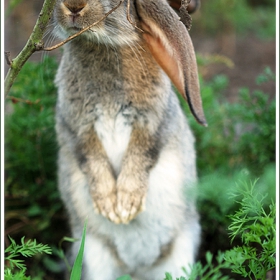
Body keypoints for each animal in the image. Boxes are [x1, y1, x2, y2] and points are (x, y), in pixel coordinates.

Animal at [52, 0, 206, 280]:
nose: (73, 7)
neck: (103, 45)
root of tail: (137, 269)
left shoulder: (151, 122)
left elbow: (141, 155)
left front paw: (125, 206)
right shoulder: (78, 126)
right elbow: (91, 158)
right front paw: (110, 207)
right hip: (95, 255)